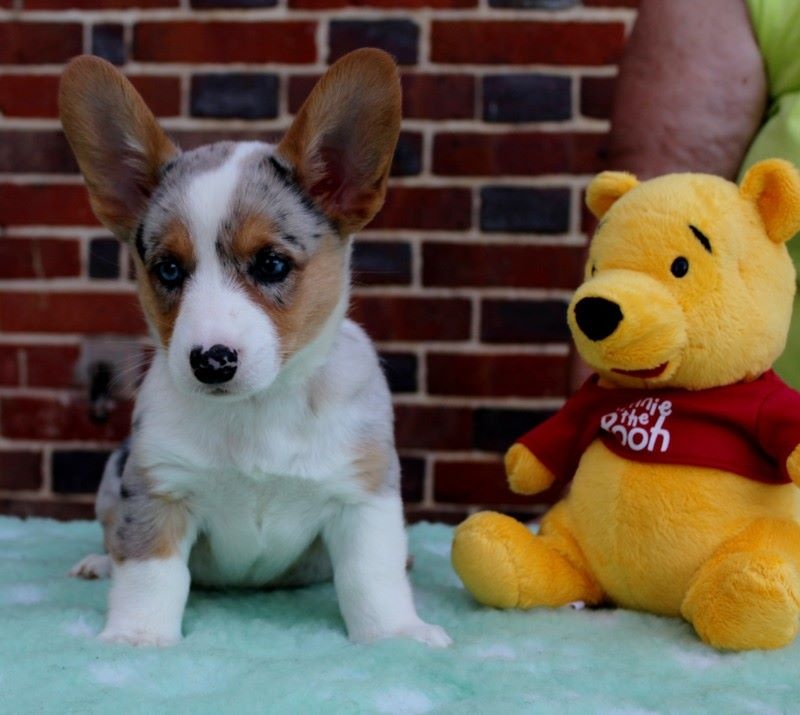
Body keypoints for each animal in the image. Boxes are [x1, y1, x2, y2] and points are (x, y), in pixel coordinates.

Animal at [60, 49, 450, 649]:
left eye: (271, 264)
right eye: (167, 269)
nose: (212, 362)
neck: (258, 410)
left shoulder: (363, 497)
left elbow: (372, 578)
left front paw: (397, 634)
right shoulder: (158, 491)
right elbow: (149, 575)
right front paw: (136, 639)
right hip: (113, 473)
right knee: (113, 538)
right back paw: (97, 563)